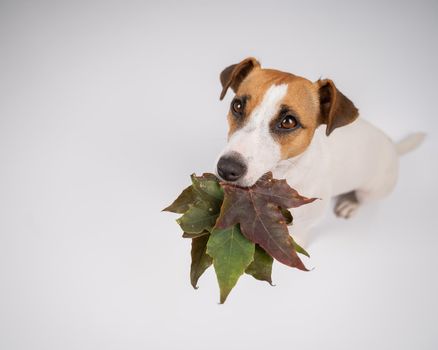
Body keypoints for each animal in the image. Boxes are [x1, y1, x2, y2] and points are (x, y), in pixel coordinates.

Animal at [216, 56, 424, 245]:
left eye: (288, 121)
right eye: (237, 105)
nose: (226, 169)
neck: (282, 172)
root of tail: (392, 146)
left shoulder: (309, 216)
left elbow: (299, 232)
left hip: (373, 189)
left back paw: (350, 204)